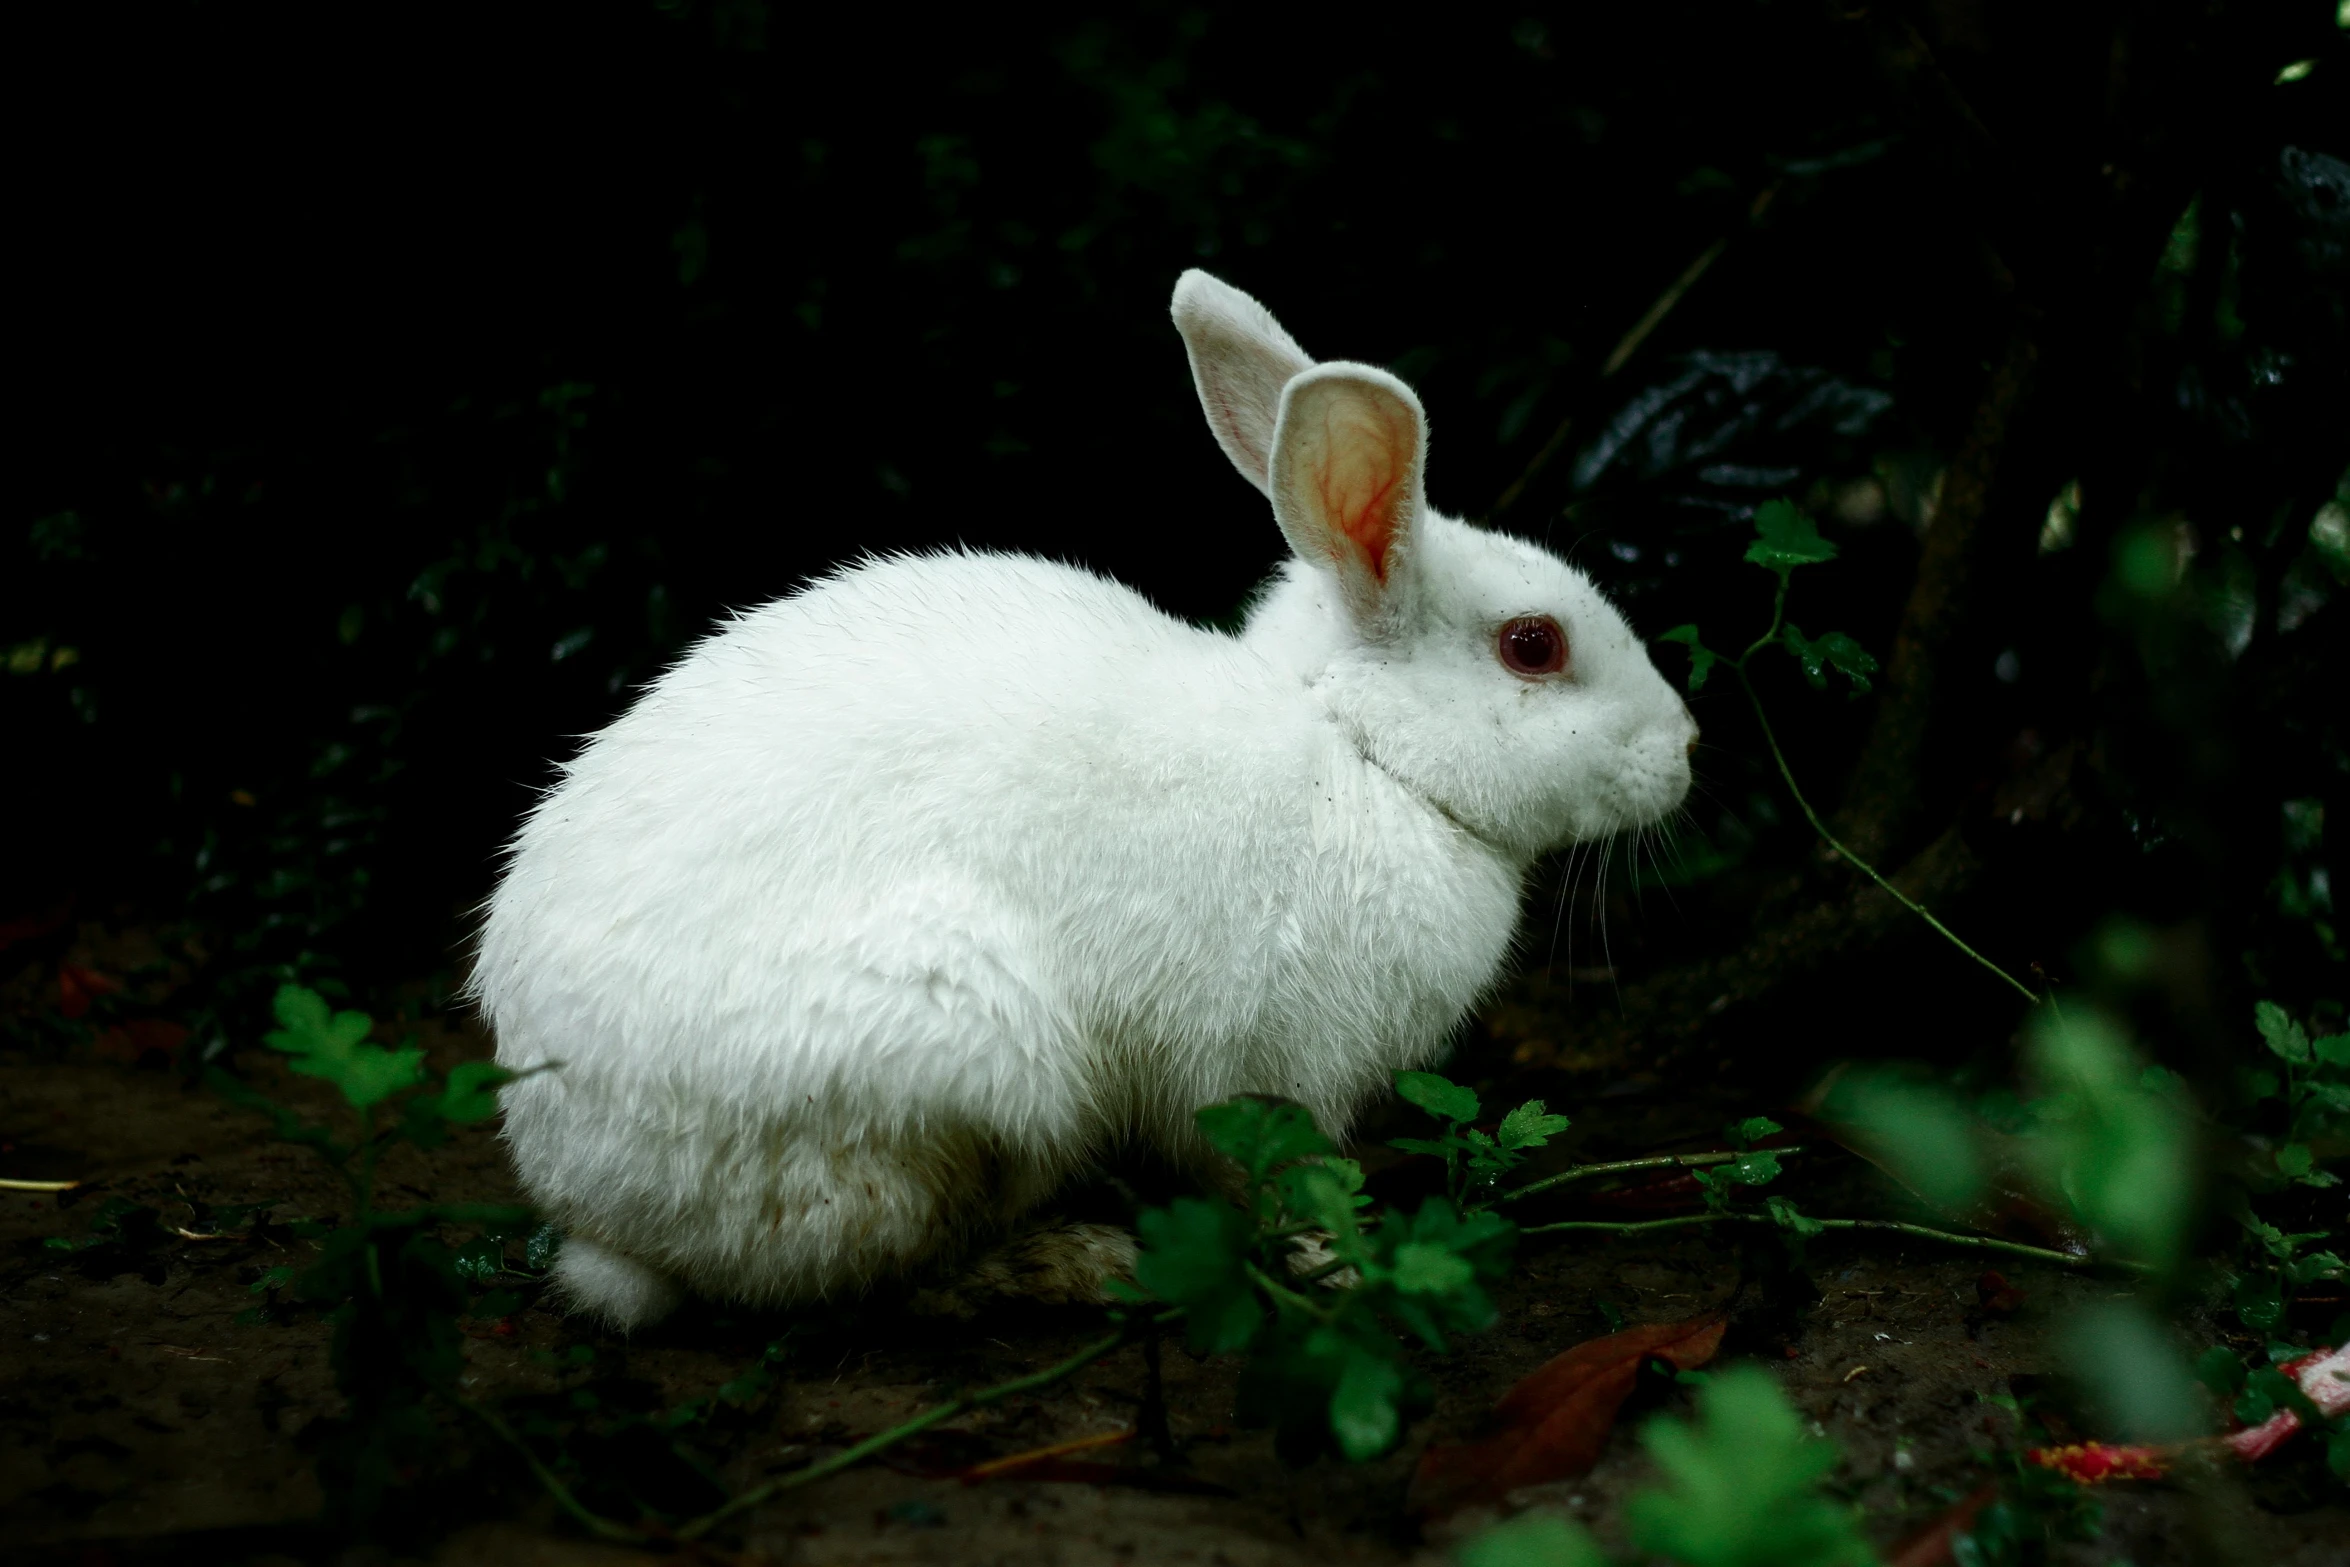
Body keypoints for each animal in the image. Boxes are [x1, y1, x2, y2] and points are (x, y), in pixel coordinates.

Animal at [472, 270, 1691, 1325]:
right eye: (1532, 646)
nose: (1686, 750)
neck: (1358, 749)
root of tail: (599, 1207)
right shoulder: (1264, 1069)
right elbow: (1263, 1175)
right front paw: (1335, 1259)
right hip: (963, 1072)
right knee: (879, 1282)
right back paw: (1081, 1263)